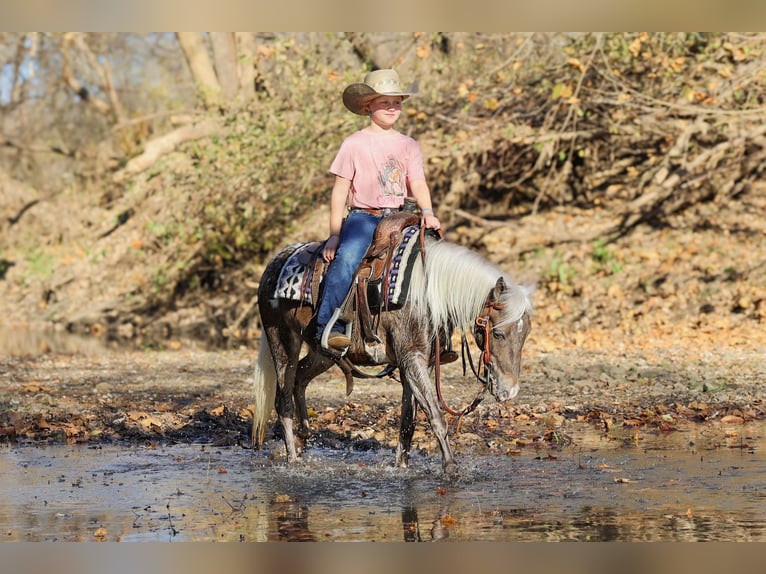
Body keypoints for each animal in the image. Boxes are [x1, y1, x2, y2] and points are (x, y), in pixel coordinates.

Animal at [251, 230, 534, 478]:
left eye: (526, 334)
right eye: (498, 334)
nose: (510, 391)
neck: (427, 294)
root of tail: (276, 262)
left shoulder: (418, 363)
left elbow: (408, 421)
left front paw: (402, 466)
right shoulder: (411, 359)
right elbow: (436, 416)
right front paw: (451, 468)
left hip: (323, 353)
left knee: (300, 378)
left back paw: (304, 438)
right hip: (282, 341)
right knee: (283, 399)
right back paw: (293, 458)